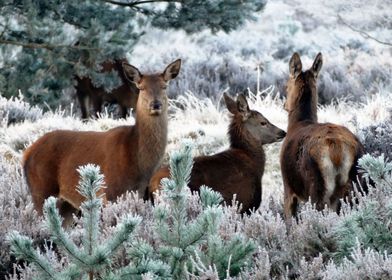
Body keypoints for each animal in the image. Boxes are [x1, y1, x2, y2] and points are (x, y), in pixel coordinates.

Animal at [24, 58, 182, 221]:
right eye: (142, 88)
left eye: (164, 86)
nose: (155, 104)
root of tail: (27, 153)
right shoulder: (111, 191)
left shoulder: (142, 193)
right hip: (41, 190)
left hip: (66, 204)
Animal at [280, 51, 366, 220]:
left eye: (286, 85)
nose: (285, 105)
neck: (298, 123)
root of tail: (337, 150)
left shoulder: (288, 187)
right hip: (356, 186)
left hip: (317, 188)